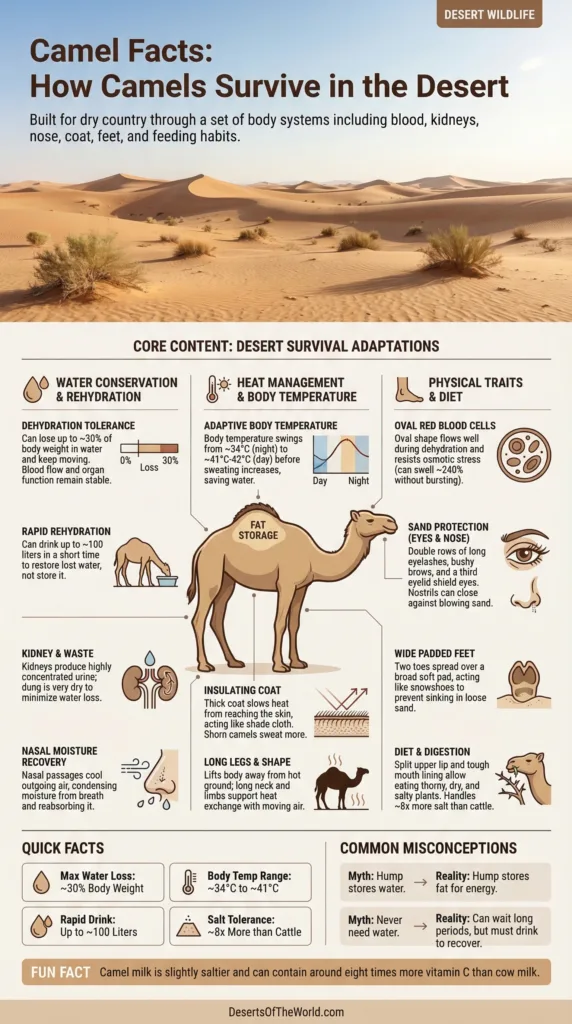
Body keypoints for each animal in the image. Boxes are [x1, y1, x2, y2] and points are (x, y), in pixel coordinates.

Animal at [187, 503, 397, 673]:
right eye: (370, 519)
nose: (392, 521)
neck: (314, 557)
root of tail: (201, 549)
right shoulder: (286, 585)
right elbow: (279, 623)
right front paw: (280, 666)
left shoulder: (301, 588)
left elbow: (294, 624)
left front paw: (297, 662)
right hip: (210, 575)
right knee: (199, 618)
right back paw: (204, 665)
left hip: (227, 581)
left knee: (217, 619)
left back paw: (234, 662)